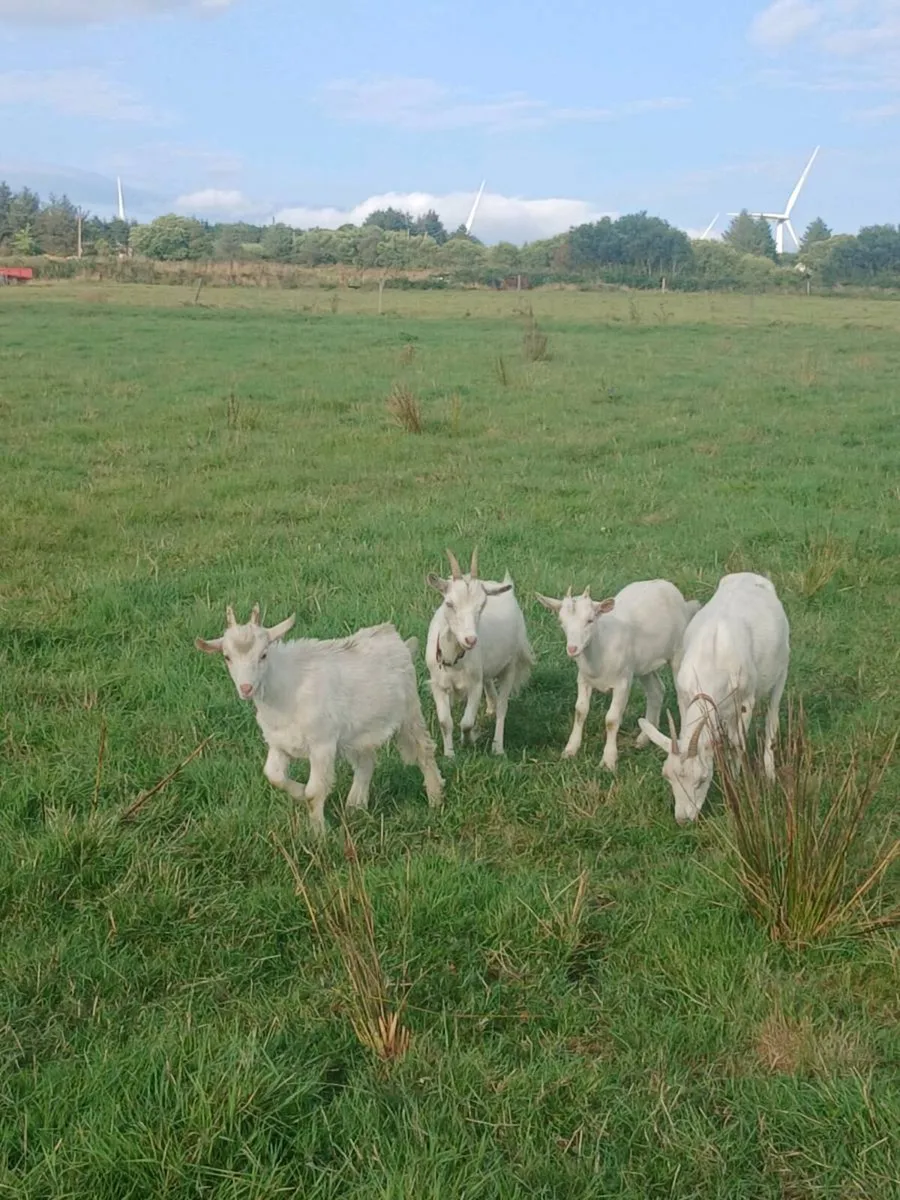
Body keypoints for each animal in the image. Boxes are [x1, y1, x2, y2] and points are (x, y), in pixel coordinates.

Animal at [195, 604, 444, 836]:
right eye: (227, 657)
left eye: (263, 654)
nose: (246, 688)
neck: (285, 692)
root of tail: (396, 639)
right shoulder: (278, 744)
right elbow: (274, 776)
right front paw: (298, 792)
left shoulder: (322, 745)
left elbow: (314, 792)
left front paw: (318, 834)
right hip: (357, 733)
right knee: (366, 762)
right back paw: (355, 805)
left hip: (409, 713)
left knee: (424, 750)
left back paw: (435, 799)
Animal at [425, 548, 535, 757]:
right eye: (449, 603)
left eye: (482, 605)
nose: (471, 639)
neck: (454, 657)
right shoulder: (438, 684)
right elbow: (445, 722)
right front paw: (449, 754)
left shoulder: (474, 684)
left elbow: (467, 723)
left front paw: (467, 740)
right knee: (490, 684)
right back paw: (491, 706)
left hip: (510, 664)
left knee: (502, 707)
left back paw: (498, 746)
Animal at [536, 580, 701, 773]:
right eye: (561, 622)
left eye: (590, 620)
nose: (572, 649)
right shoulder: (583, 679)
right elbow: (580, 711)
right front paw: (570, 750)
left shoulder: (623, 682)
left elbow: (612, 719)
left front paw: (608, 761)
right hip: (643, 664)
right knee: (656, 691)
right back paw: (643, 739)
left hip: (677, 653)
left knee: (681, 696)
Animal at [638, 571, 790, 824]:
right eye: (667, 776)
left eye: (701, 779)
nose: (684, 819)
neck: (714, 658)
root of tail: (750, 575)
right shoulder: (685, 696)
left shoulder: (745, 701)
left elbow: (738, 743)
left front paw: (735, 781)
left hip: (782, 668)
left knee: (772, 714)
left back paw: (769, 771)